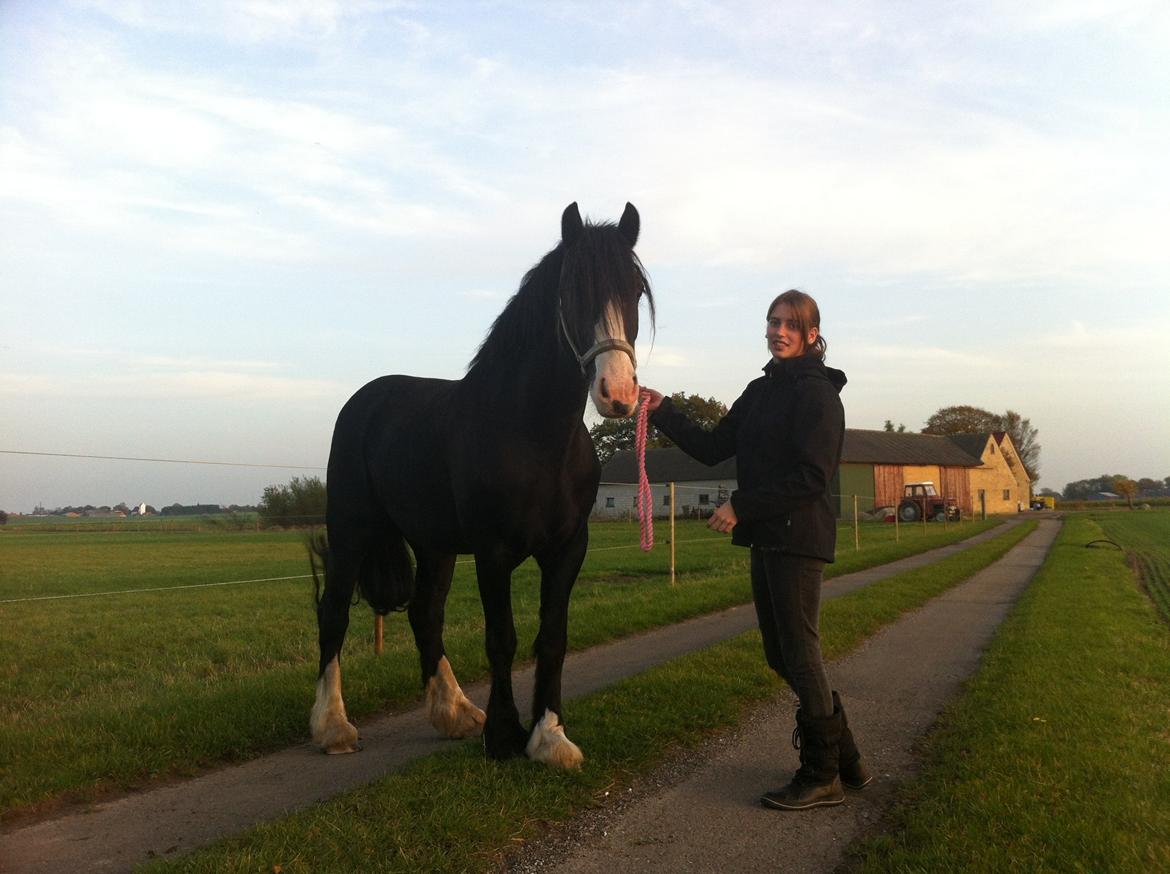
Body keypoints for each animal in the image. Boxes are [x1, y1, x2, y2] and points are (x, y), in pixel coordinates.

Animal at [311, 201, 655, 767]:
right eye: (571, 291)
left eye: (635, 292)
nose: (619, 393)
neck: (532, 435)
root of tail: (365, 400)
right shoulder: (493, 552)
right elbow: (502, 639)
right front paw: (504, 735)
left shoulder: (568, 548)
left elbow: (552, 636)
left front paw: (549, 735)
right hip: (351, 531)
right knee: (333, 614)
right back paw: (333, 726)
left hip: (435, 546)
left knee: (425, 614)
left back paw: (453, 712)